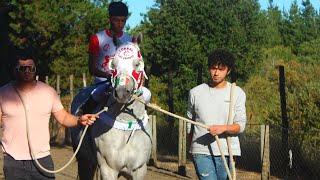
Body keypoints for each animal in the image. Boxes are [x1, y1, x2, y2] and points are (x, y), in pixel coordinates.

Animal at [72, 41, 152, 179]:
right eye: (113, 65)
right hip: (84, 161)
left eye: (137, 64)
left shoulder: (140, 169)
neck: (126, 127)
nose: (121, 92)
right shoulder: (108, 169)